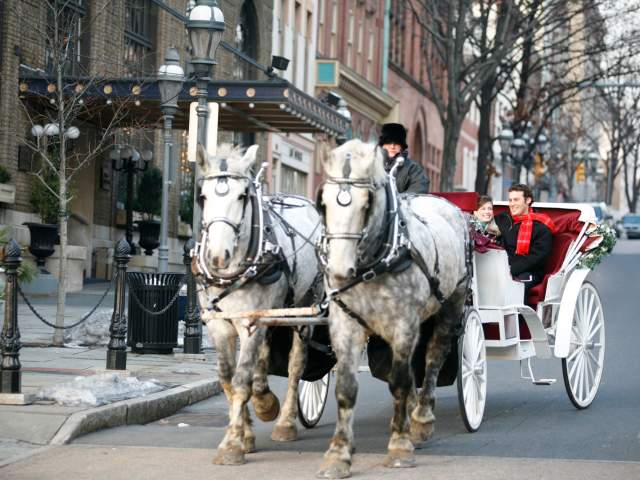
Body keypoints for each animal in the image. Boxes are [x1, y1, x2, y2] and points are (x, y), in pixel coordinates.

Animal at [193, 143, 322, 465]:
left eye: (242, 196)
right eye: (203, 196)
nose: (218, 256)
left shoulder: (250, 323)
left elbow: (241, 380)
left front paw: (231, 445)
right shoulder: (219, 325)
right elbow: (228, 379)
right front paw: (246, 434)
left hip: (305, 309)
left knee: (296, 365)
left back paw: (285, 422)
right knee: (262, 360)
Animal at [315, 139, 470, 478]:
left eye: (367, 204)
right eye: (323, 203)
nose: (339, 270)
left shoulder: (403, 323)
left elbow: (400, 382)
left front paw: (400, 445)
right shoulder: (346, 324)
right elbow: (346, 388)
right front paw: (338, 454)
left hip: (451, 303)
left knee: (433, 357)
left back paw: (421, 419)